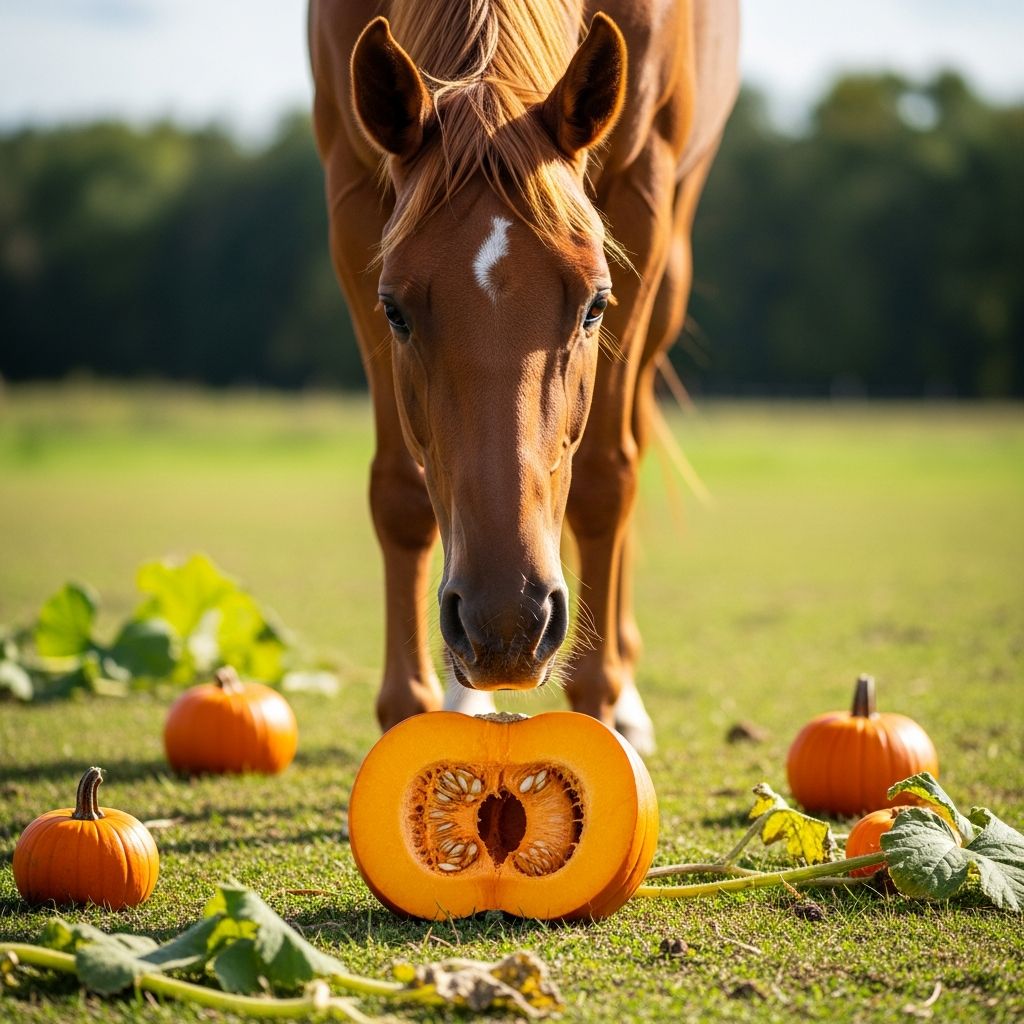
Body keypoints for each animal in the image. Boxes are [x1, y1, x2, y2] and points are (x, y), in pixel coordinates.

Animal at [308, 0, 739, 752]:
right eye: (394, 310)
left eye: (596, 304)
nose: (506, 625)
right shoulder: (353, 191)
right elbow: (399, 492)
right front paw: (409, 707)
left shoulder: (642, 190)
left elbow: (605, 481)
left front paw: (600, 700)